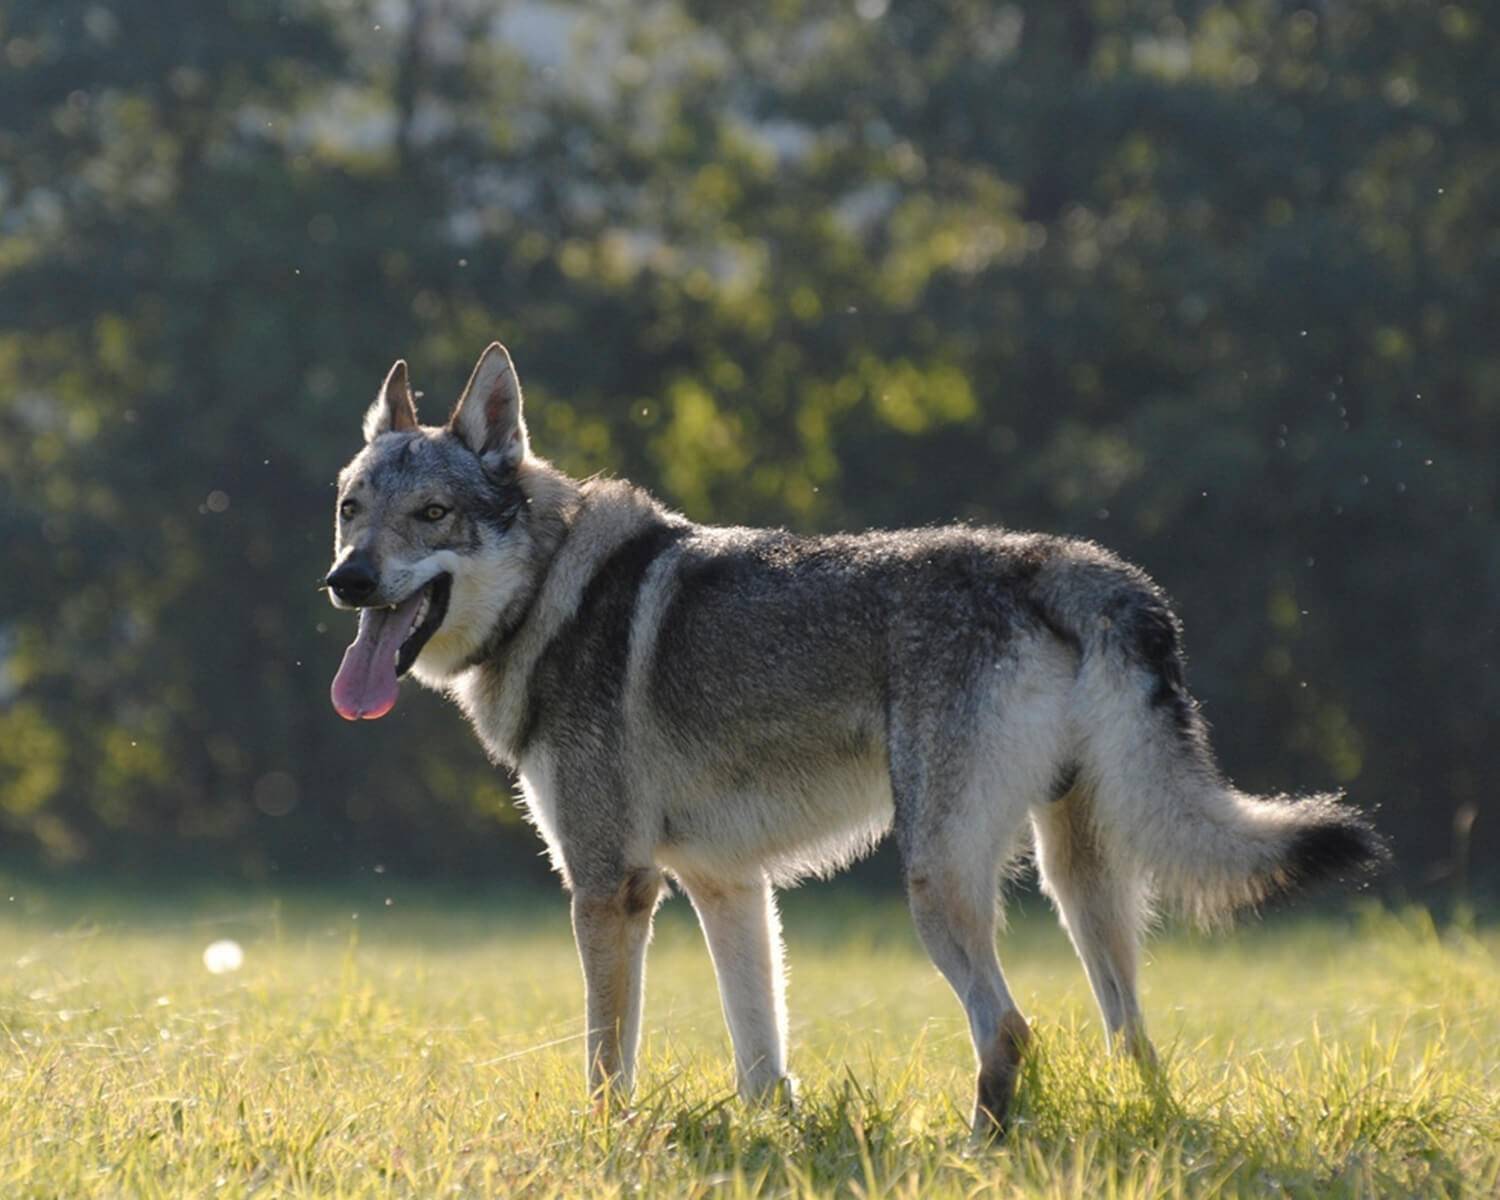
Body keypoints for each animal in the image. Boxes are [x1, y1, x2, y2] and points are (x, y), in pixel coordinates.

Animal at [322, 340, 1386, 1134]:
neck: (551, 594)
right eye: (350, 510)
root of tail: (1064, 562)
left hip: (936, 881)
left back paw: (977, 1154)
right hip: (1078, 881)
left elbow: (606, 1065)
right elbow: (761, 1061)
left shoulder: (612, 890)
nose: (346, 581)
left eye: (432, 515)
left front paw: (608, 1150)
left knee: (1011, 1029)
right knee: (1130, 1034)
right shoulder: (726, 887)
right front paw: (776, 1147)